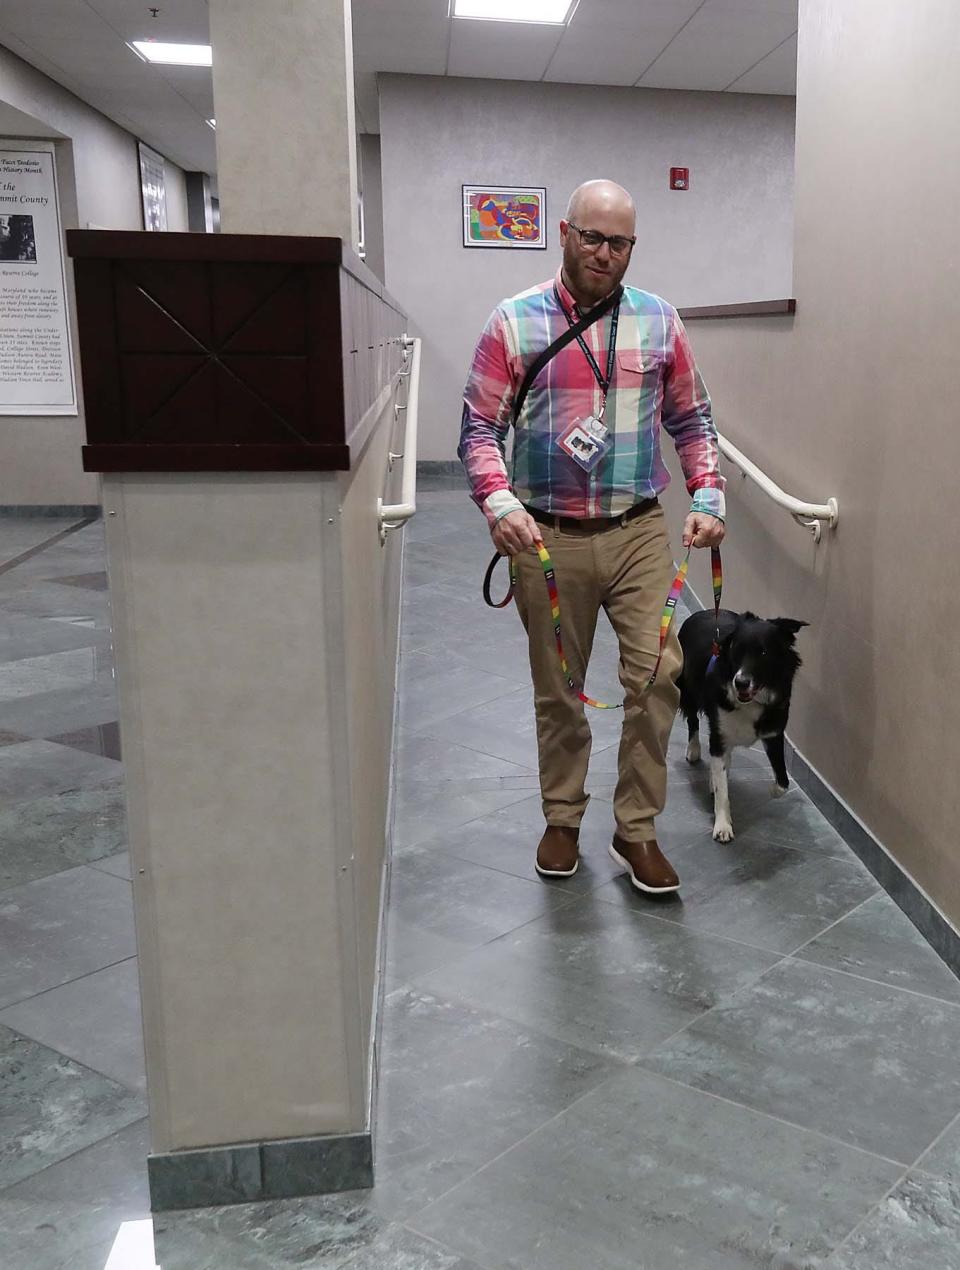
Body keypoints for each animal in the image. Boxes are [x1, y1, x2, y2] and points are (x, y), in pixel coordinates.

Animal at [680, 607, 807, 843]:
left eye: (764, 653)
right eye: (737, 650)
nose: (740, 682)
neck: (752, 701)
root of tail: (702, 612)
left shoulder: (773, 732)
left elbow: (783, 780)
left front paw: (773, 790)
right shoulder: (719, 733)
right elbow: (722, 789)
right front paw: (722, 825)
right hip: (688, 689)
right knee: (693, 720)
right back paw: (694, 750)